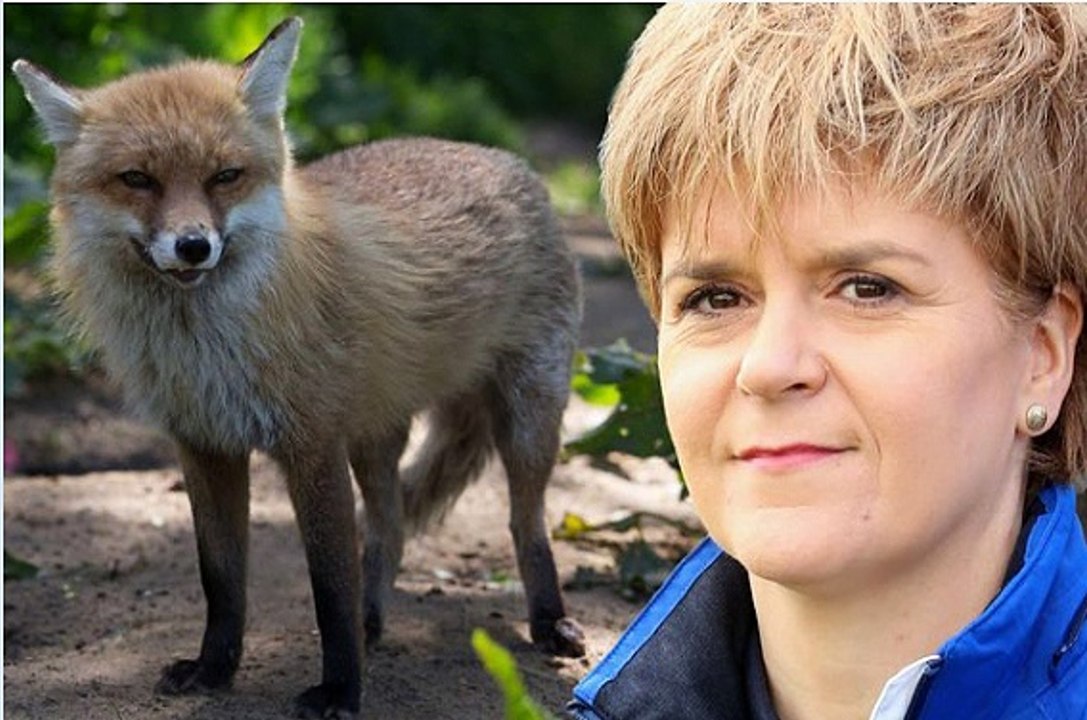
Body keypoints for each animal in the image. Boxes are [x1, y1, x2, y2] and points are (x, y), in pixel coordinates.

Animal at [12, 17, 585, 719]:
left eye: (225, 176)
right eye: (137, 179)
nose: (193, 245)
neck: (207, 347)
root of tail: (507, 159)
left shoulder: (312, 446)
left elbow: (328, 587)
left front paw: (341, 689)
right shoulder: (204, 445)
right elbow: (223, 578)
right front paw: (215, 669)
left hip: (528, 422)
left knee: (523, 521)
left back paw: (548, 621)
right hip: (375, 437)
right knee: (389, 529)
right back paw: (375, 621)